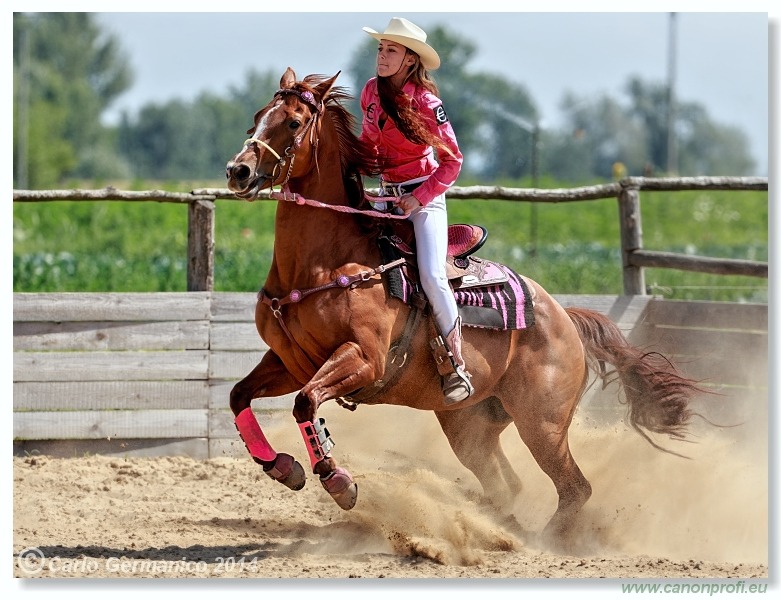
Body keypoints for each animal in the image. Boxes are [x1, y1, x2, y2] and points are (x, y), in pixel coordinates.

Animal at [221, 68, 700, 536]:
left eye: (293, 122)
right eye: (257, 117)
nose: (238, 171)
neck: (325, 262)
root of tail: (565, 317)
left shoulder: (362, 360)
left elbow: (305, 402)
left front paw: (338, 481)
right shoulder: (290, 361)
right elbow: (239, 395)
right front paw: (282, 467)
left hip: (543, 425)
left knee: (574, 489)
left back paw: (535, 540)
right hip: (469, 424)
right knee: (509, 483)